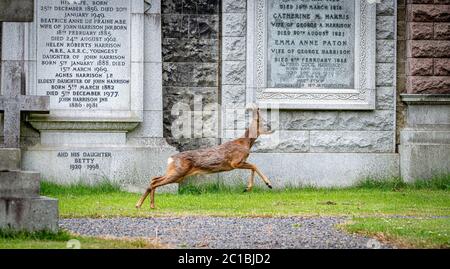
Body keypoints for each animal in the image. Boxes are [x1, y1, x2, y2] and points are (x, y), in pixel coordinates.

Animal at [134, 103, 274, 208]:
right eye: (265, 123)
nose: (273, 128)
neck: (245, 143)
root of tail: (171, 158)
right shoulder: (235, 162)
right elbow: (254, 166)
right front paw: (267, 184)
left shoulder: (239, 162)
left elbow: (253, 167)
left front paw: (248, 188)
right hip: (178, 172)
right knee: (154, 182)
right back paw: (140, 205)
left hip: (176, 173)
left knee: (154, 179)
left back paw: (149, 205)